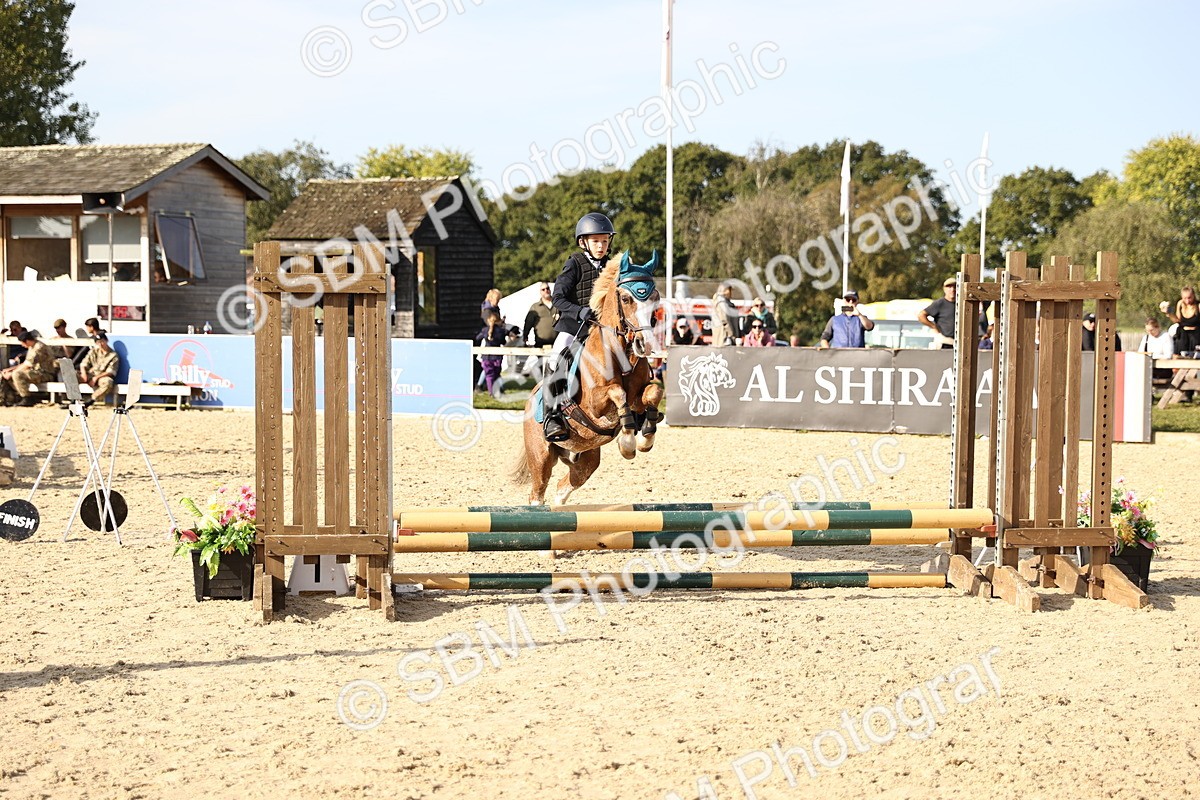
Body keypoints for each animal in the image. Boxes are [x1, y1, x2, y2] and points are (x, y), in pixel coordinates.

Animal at [513, 251, 665, 508]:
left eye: (655, 298)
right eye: (626, 299)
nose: (644, 345)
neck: (619, 353)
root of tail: (531, 398)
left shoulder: (638, 397)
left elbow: (653, 392)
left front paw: (645, 437)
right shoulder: (595, 403)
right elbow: (617, 392)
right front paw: (627, 443)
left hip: (587, 456)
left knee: (565, 485)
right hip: (541, 456)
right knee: (537, 491)